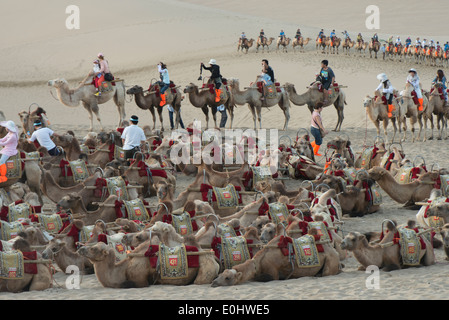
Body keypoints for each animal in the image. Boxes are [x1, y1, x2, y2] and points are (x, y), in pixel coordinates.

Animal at [210, 231, 340, 286]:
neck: (258, 264)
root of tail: (334, 251)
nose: (214, 282)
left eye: (227, 278)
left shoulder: (273, 273)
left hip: (330, 261)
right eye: (220, 274)